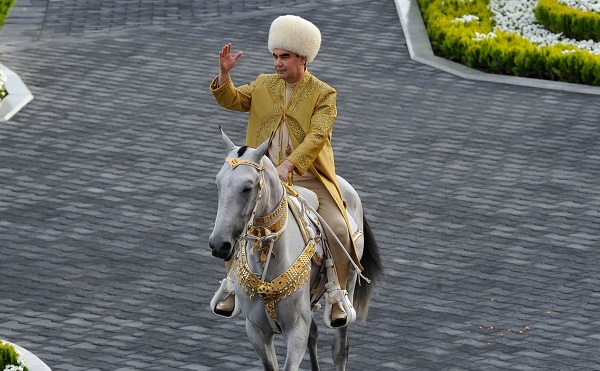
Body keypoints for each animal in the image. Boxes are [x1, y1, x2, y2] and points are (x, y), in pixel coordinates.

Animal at [209, 131, 382, 371]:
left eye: (247, 187)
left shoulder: (296, 330)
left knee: (340, 348)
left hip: (346, 290)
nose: (218, 244)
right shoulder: (257, 331)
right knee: (314, 335)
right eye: (218, 183)